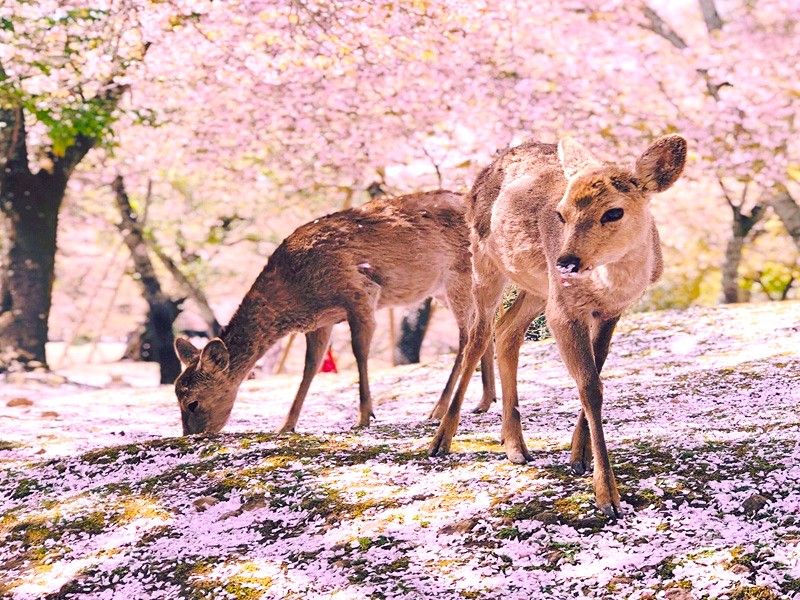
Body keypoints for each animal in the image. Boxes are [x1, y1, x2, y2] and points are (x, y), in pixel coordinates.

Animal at [172, 190, 497, 436]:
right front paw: (286, 425)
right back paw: (485, 400)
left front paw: (365, 416)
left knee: (467, 336)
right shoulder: (320, 322)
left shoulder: (360, 292)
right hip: (447, 289)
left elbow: (359, 352)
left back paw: (438, 409)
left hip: (459, 277)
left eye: (193, 403)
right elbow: (310, 367)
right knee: (486, 327)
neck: (296, 292)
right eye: (177, 395)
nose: (192, 435)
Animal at [428, 134, 687, 518]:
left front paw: (579, 456)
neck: (609, 286)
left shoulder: (610, 312)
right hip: (486, 262)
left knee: (507, 329)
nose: (567, 261)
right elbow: (590, 386)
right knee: (478, 335)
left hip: (537, 287)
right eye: (561, 214)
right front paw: (608, 496)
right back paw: (441, 440)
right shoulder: (564, 310)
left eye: (614, 212)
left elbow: (596, 376)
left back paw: (514, 445)